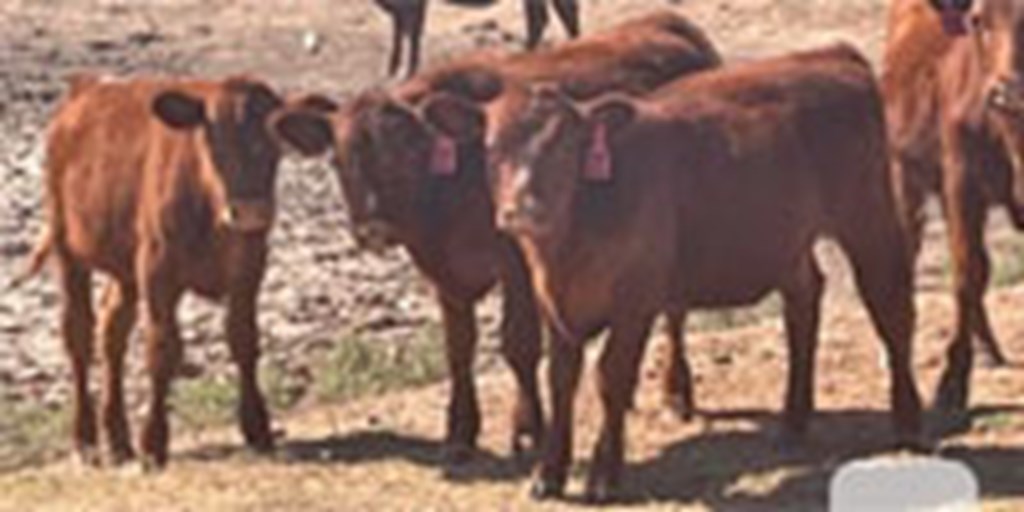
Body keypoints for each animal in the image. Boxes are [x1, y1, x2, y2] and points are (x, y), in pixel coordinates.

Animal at [25, 73, 327, 468]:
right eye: (214, 141)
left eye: (273, 143)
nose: (249, 211)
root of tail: (87, 86)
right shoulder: (158, 269)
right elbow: (162, 349)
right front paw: (154, 442)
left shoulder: (249, 268)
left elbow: (244, 340)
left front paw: (257, 427)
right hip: (69, 251)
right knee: (78, 335)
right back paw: (86, 439)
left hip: (124, 268)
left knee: (112, 332)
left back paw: (118, 440)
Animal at [272, 11, 720, 460]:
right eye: (338, 160)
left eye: (407, 152)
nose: (374, 228)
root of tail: (666, 21)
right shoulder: (443, 275)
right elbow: (458, 349)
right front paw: (460, 430)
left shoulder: (517, 264)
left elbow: (519, 345)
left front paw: (528, 429)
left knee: (674, 312)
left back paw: (676, 393)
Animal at [376, 0, 585, 76]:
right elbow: (400, 30)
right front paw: (393, 68)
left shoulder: (413, 4)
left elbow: (412, 32)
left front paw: (409, 72)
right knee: (547, 17)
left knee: (555, 16)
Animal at [428, 44, 925, 499]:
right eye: (491, 149)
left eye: (566, 146)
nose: (523, 212)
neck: (573, 238)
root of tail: (832, 55)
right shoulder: (552, 303)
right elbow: (561, 380)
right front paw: (548, 474)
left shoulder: (636, 300)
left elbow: (611, 377)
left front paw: (604, 476)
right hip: (788, 241)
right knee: (804, 300)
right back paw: (793, 422)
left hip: (868, 216)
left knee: (890, 306)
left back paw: (907, 422)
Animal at [884, 0, 1019, 409]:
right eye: (978, 20)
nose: (1006, 92)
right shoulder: (962, 181)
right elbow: (967, 273)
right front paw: (952, 382)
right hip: (906, 175)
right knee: (913, 252)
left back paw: (989, 347)